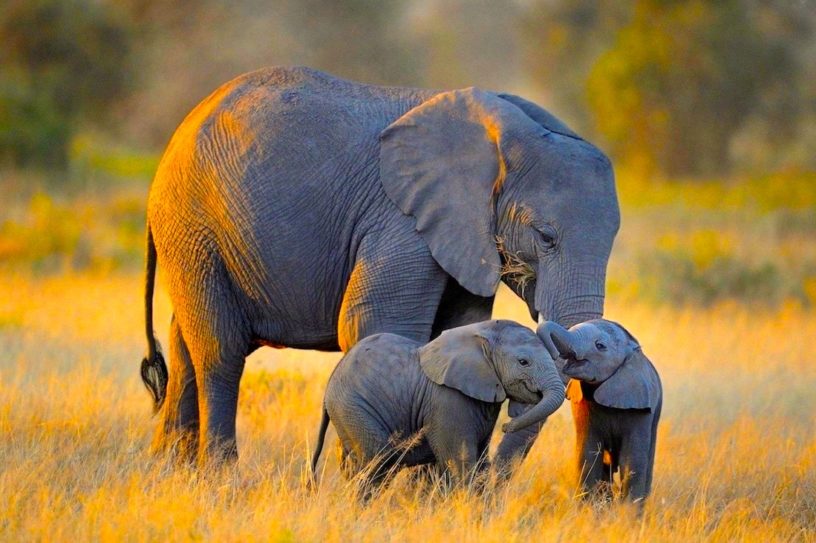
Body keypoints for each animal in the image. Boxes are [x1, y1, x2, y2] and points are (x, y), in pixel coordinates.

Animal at [138, 66, 620, 465]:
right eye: (545, 237)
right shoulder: (400, 221)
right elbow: (376, 324)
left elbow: (455, 329)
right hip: (193, 225)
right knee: (219, 351)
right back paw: (220, 476)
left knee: (185, 344)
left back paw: (169, 472)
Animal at [310, 320, 565, 493]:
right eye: (524, 362)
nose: (506, 426)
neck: (481, 334)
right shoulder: (448, 401)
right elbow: (461, 461)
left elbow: (481, 462)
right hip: (353, 408)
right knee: (378, 463)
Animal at [537, 319, 662, 503]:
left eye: (600, 346)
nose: (553, 354)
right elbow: (587, 455)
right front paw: (588, 508)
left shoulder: (640, 407)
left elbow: (632, 461)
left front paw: (628, 511)